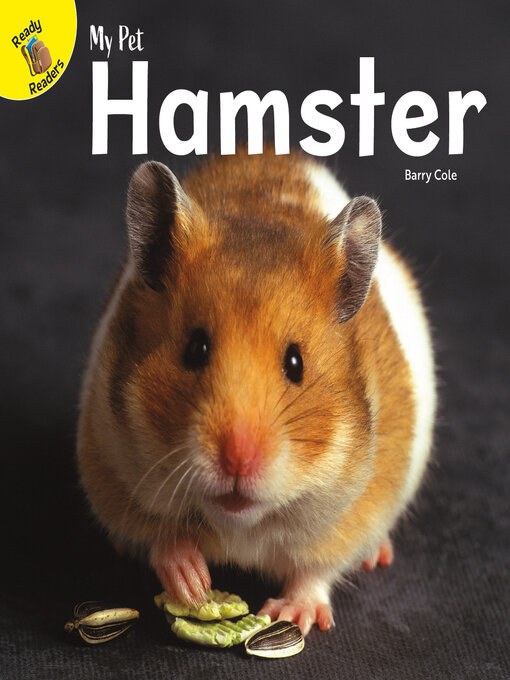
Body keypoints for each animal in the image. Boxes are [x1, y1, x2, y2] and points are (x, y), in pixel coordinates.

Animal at [77, 149, 436, 635]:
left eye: (295, 363)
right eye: (195, 349)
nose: (237, 460)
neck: (239, 522)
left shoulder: (355, 512)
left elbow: (314, 571)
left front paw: (289, 616)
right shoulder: (110, 464)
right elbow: (160, 536)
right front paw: (193, 585)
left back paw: (376, 557)